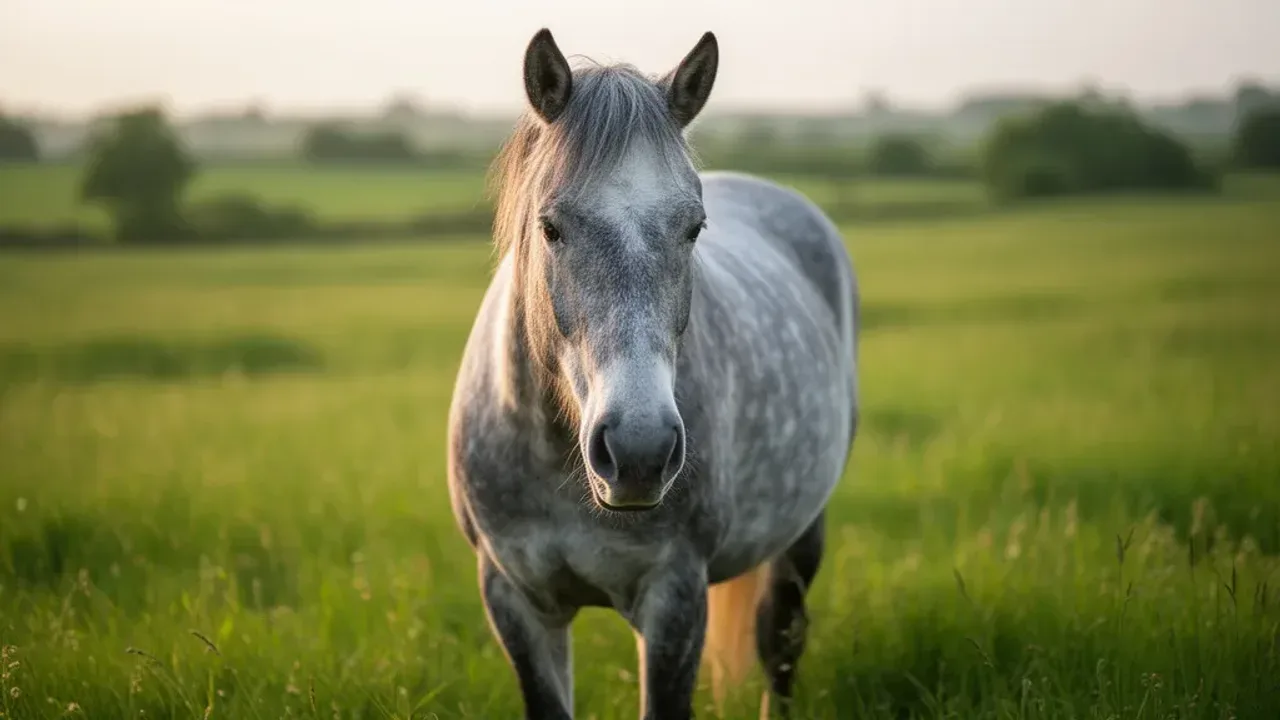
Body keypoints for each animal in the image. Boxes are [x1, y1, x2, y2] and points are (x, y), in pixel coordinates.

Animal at [446, 28, 859, 719]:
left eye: (694, 228)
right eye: (549, 226)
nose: (639, 452)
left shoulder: (674, 597)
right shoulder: (514, 599)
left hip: (802, 532)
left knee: (779, 639)